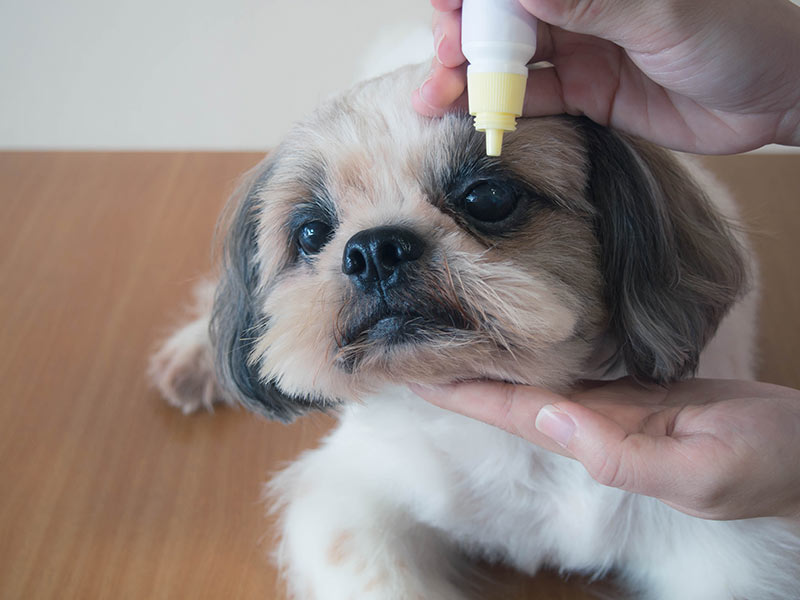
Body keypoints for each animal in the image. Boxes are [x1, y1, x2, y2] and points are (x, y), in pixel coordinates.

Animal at [150, 63, 800, 596]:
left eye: (487, 196)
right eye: (311, 233)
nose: (374, 249)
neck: (520, 449)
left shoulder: (734, 550)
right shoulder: (354, 501)